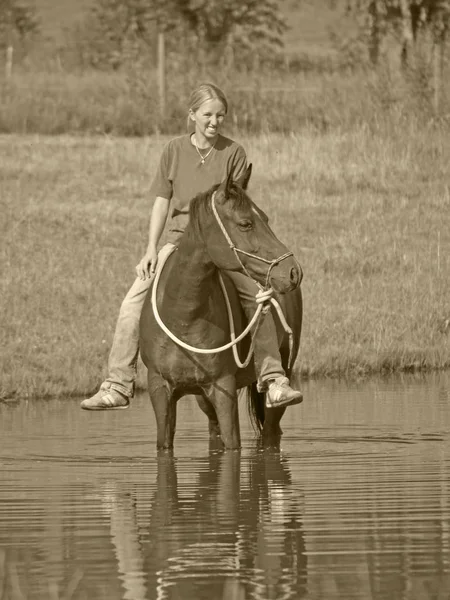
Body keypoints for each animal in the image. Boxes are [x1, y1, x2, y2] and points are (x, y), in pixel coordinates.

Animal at [140, 165, 302, 450]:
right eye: (246, 223)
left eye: (266, 219)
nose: (293, 272)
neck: (183, 317)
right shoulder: (160, 389)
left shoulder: (222, 389)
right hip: (202, 398)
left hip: (281, 379)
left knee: (271, 432)